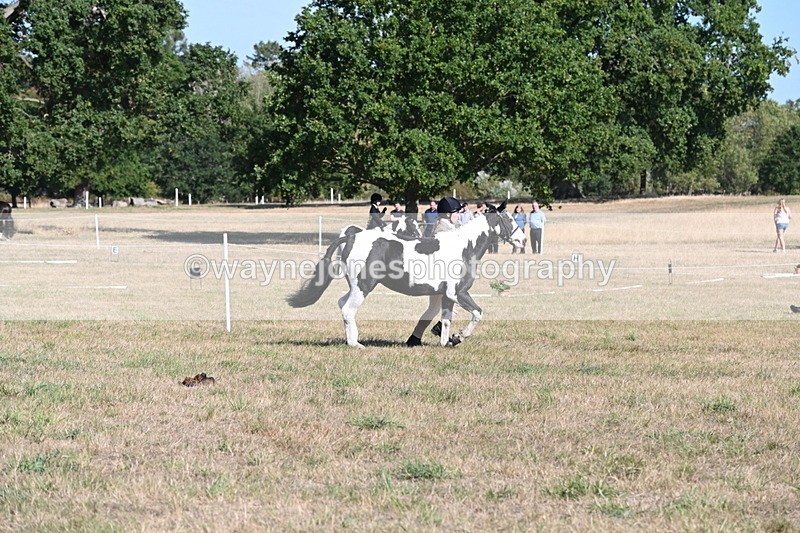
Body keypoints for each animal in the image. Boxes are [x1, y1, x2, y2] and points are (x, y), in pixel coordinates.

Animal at [288, 201, 525, 348]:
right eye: (509, 219)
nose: (522, 241)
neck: (464, 247)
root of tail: (352, 237)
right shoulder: (458, 293)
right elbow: (477, 313)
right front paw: (459, 337)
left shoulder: (447, 295)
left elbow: (445, 320)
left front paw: (447, 342)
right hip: (363, 286)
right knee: (347, 309)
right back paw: (356, 344)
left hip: (356, 286)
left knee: (342, 304)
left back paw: (352, 340)